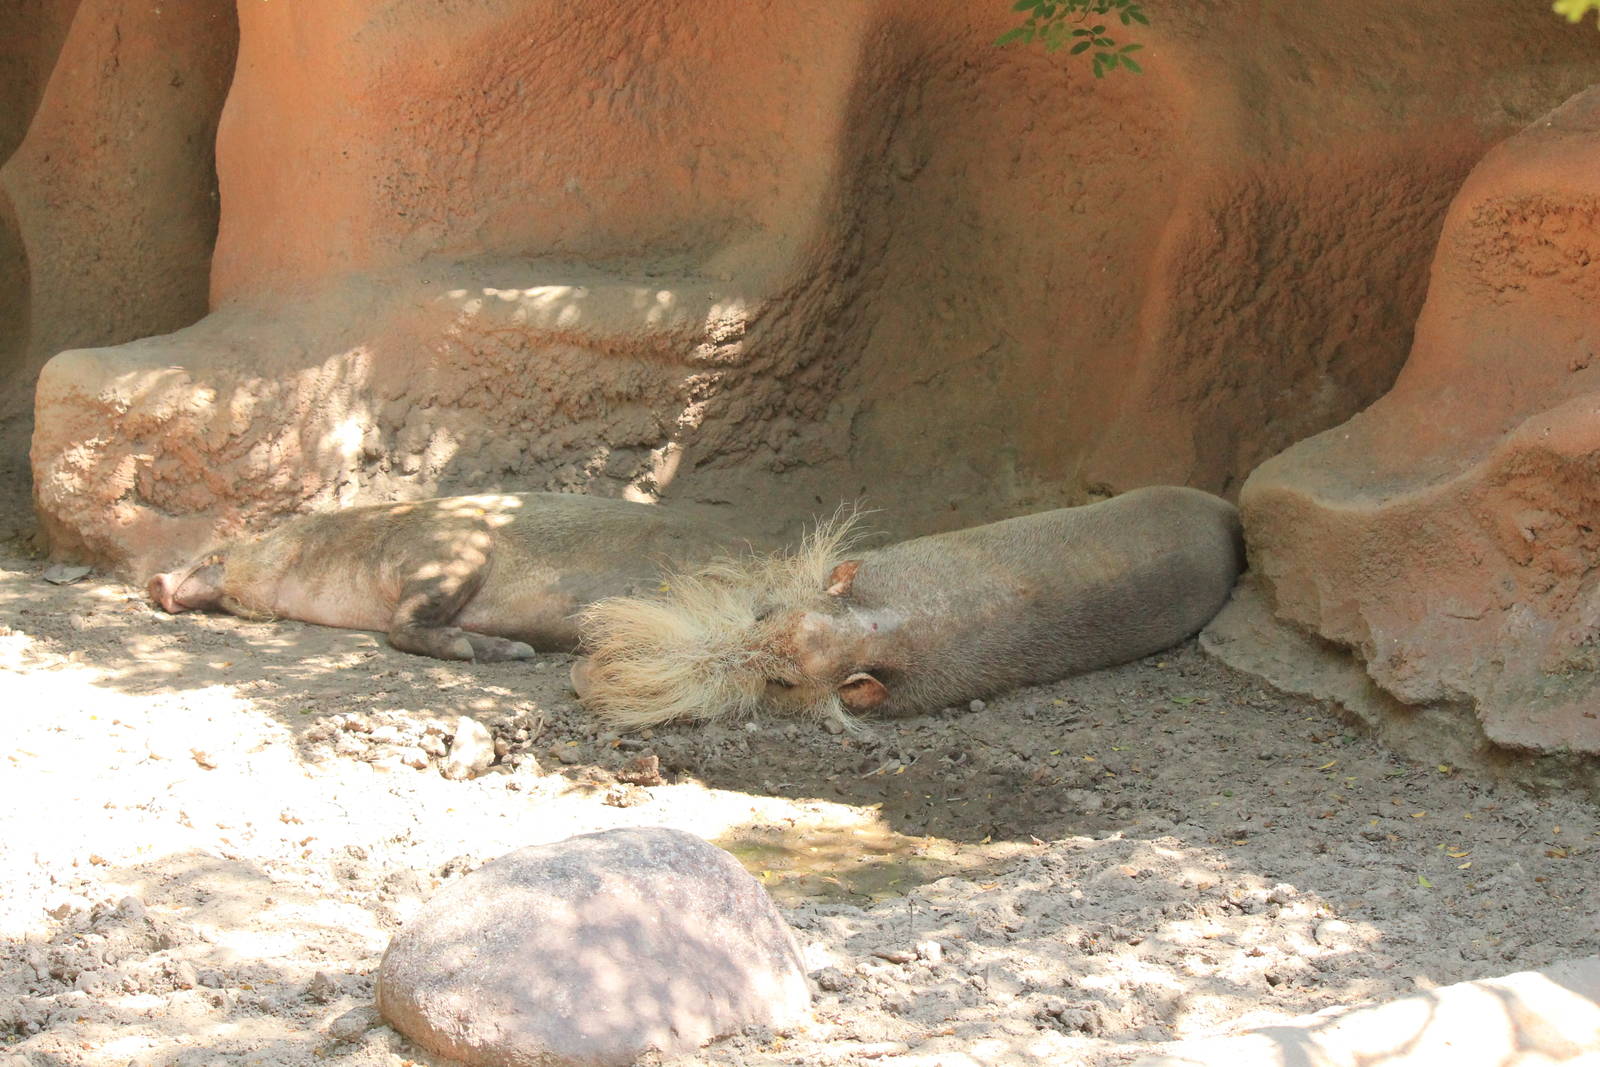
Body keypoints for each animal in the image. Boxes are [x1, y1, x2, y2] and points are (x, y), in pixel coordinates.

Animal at [148, 493, 745, 661]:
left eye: (212, 555)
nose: (155, 579)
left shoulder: (452, 541)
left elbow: (402, 625)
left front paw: (496, 650)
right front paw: (508, 649)